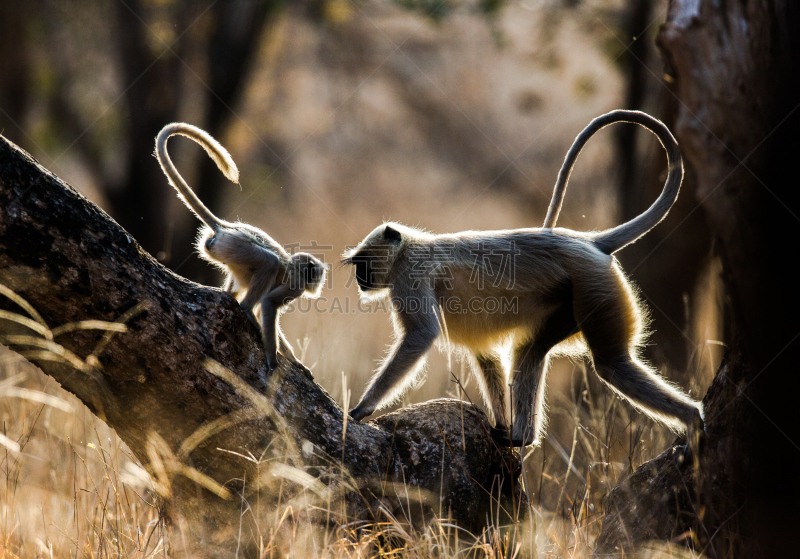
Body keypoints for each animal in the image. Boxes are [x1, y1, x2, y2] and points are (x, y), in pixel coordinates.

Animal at [156, 124, 324, 374]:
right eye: (316, 275)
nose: (319, 282)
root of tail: (225, 228)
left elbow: (266, 307)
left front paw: (293, 359)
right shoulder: (297, 285)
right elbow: (268, 305)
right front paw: (274, 359)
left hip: (229, 253)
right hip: (237, 246)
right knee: (269, 264)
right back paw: (245, 309)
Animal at [340, 111, 704, 448]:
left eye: (363, 264)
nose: (359, 278)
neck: (409, 247)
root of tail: (588, 242)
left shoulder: (408, 276)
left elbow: (420, 335)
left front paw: (361, 409)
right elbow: (487, 355)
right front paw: (500, 424)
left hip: (595, 285)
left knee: (611, 364)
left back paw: (692, 418)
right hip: (574, 297)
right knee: (531, 351)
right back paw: (521, 437)